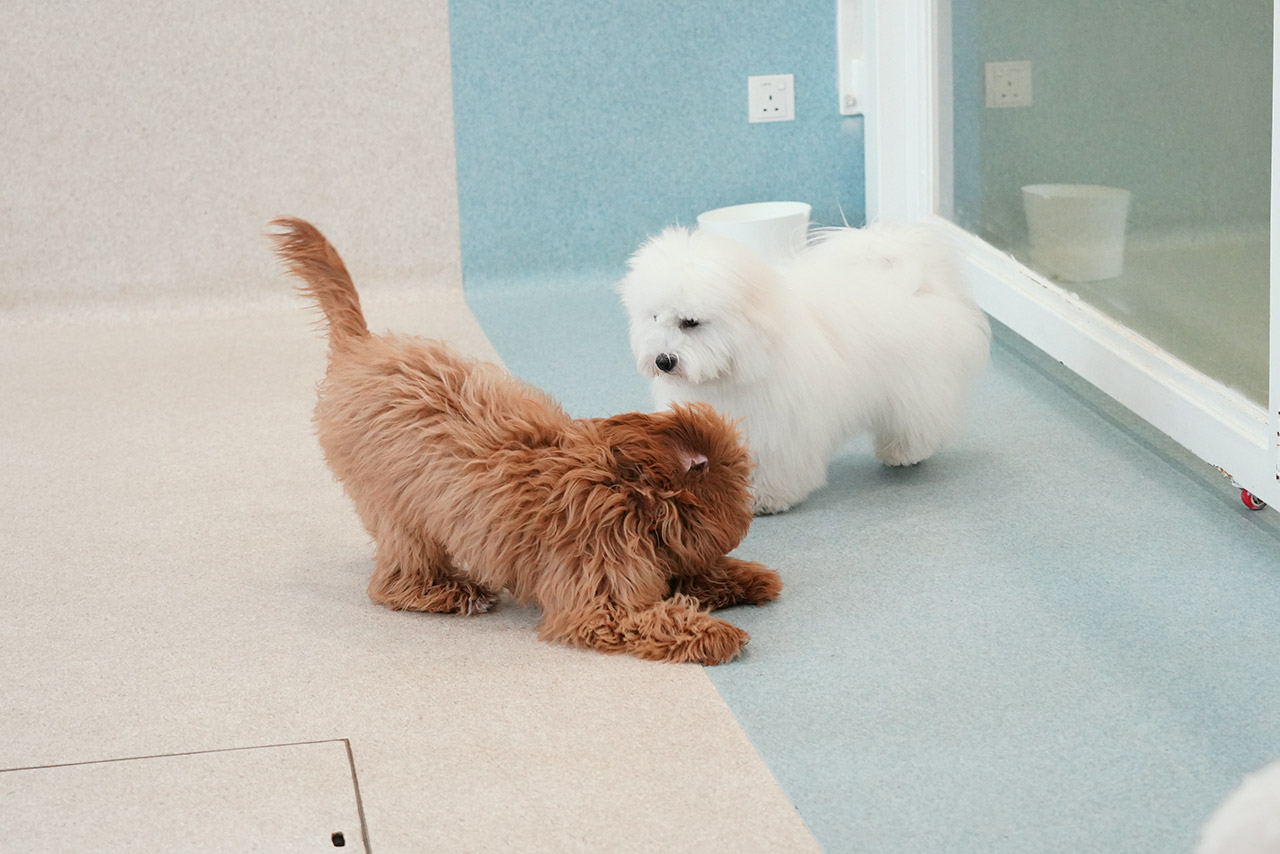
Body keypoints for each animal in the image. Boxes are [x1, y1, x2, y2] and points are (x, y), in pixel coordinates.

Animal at [614, 222, 993, 514]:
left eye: (690, 322)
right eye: (654, 318)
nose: (663, 360)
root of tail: (914, 282)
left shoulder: (778, 426)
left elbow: (775, 463)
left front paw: (767, 498)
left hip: (916, 383)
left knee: (919, 420)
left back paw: (904, 453)